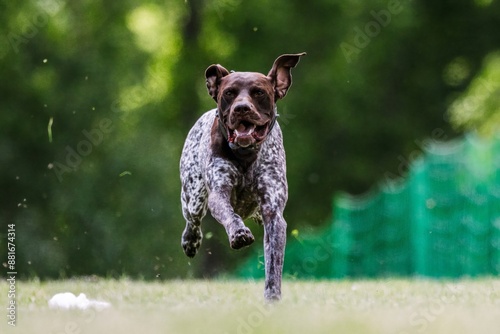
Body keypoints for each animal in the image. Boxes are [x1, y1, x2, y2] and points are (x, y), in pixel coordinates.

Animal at [180, 52, 304, 300]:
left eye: (259, 92)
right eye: (229, 93)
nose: (242, 108)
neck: (246, 155)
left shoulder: (272, 211)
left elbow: (273, 263)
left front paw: (272, 296)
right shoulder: (219, 193)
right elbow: (230, 215)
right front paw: (239, 233)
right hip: (194, 197)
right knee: (192, 219)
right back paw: (190, 240)